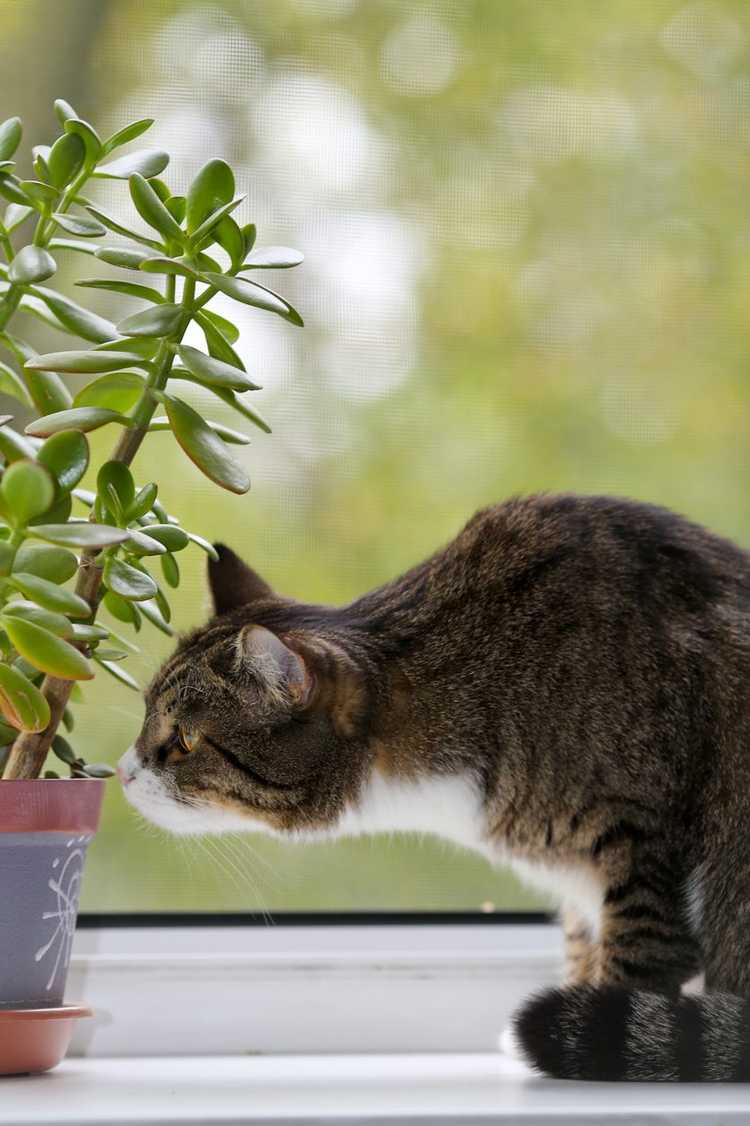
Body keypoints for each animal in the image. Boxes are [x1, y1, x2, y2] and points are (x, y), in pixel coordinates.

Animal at [118, 493, 750, 1080]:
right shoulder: (581, 891)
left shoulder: (643, 848)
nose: (121, 772)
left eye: (184, 740)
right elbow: (581, 945)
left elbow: (632, 968)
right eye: (145, 712)